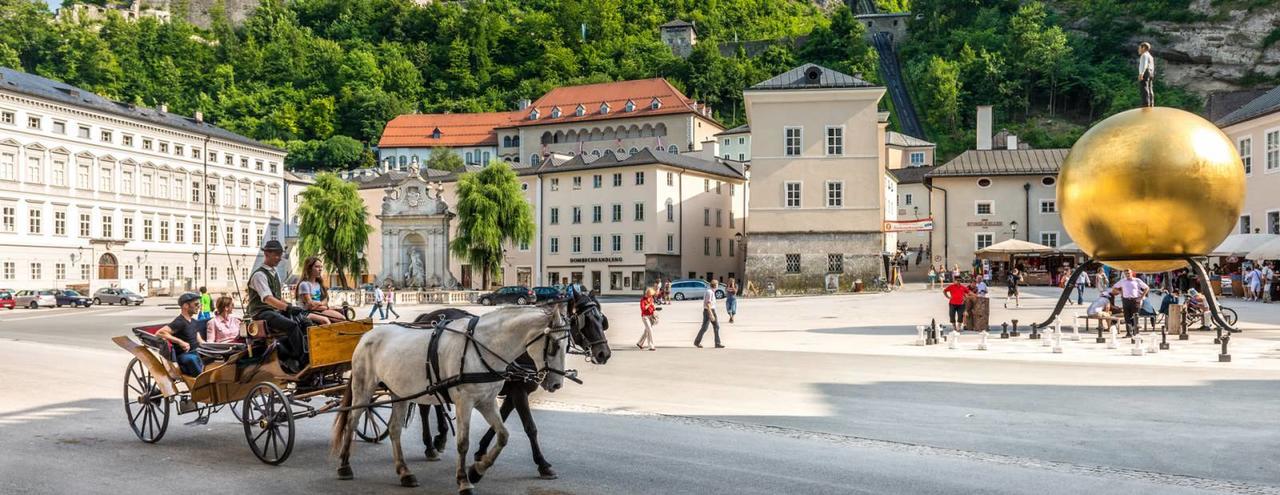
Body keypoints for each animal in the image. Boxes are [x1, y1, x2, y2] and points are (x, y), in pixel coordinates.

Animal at [327, 304, 591, 493]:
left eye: (567, 344)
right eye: (554, 345)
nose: (556, 384)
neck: (484, 347)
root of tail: (367, 335)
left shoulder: (487, 401)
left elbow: (503, 435)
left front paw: (477, 470)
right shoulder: (466, 402)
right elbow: (463, 442)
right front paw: (464, 480)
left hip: (399, 392)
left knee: (394, 429)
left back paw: (404, 472)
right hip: (364, 388)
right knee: (352, 421)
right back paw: (344, 466)